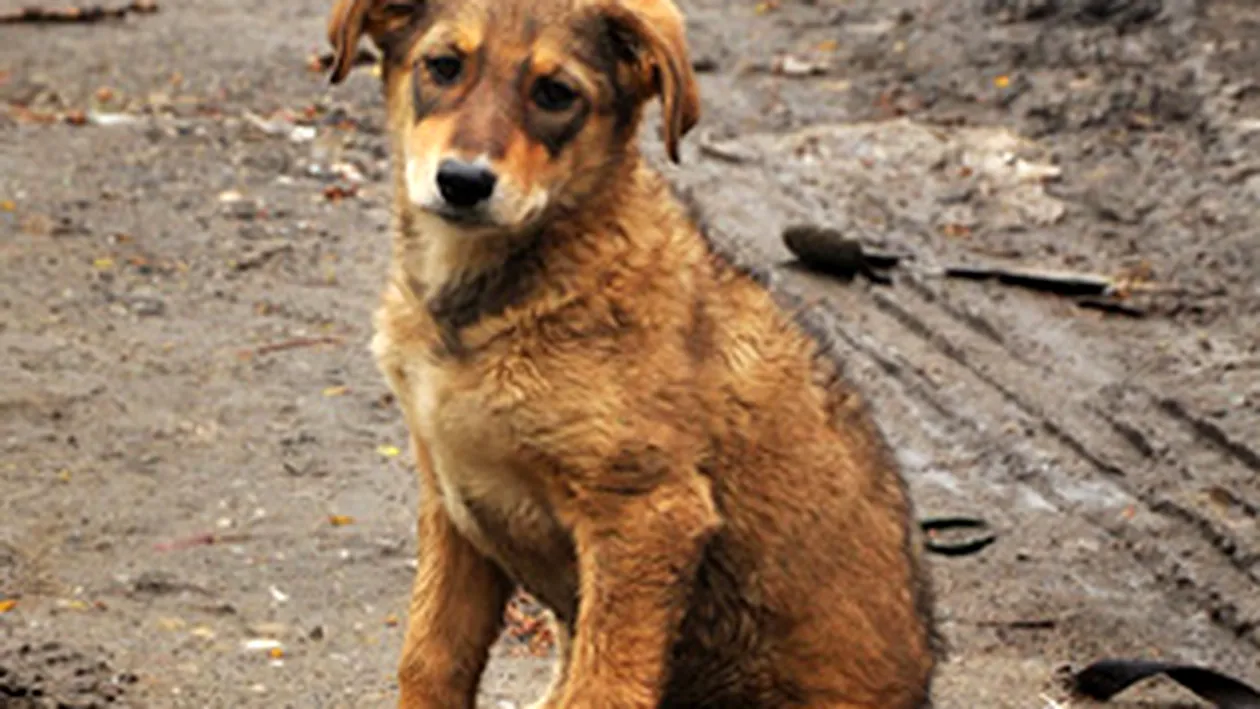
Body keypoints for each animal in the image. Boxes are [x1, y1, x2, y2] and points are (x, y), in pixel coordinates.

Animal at [325, 0, 937, 705]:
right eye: (444, 66)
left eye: (555, 94)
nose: (462, 182)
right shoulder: (451, 500)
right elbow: (429, 659)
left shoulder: (647, 512)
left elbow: (602, 686)